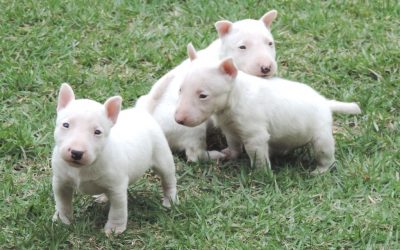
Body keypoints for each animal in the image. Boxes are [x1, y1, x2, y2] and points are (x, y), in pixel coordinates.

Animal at [52, 83, 177, 235]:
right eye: (66, 125)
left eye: (97, 132)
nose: (76, 152)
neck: (82, 169)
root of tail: (142, 112)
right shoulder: (60, 182)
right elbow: (62, 202)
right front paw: (63, 220)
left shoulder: (117, 188)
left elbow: (117, 210)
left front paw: (114, 229)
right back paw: (102, 197)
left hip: (162, 156)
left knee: (168, 179)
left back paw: (170, 201)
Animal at [136, 9, 280, 161]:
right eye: (242, 47)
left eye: (270, 43)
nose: (266, 68)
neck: (222, 54)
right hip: (191, 127)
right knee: (194, 154)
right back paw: (216, 154)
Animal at [175, 47, 362, 175]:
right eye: (180, 89)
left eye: (203, 95)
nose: (178, 120)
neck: (235, 96)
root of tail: (325, 102)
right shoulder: (230, 128)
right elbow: (234, 144)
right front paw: (229, 154)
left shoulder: (255, 136)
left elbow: (257, 156)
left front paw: (261, 175)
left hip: (321, 134)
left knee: (326, 153)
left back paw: (320, 170)